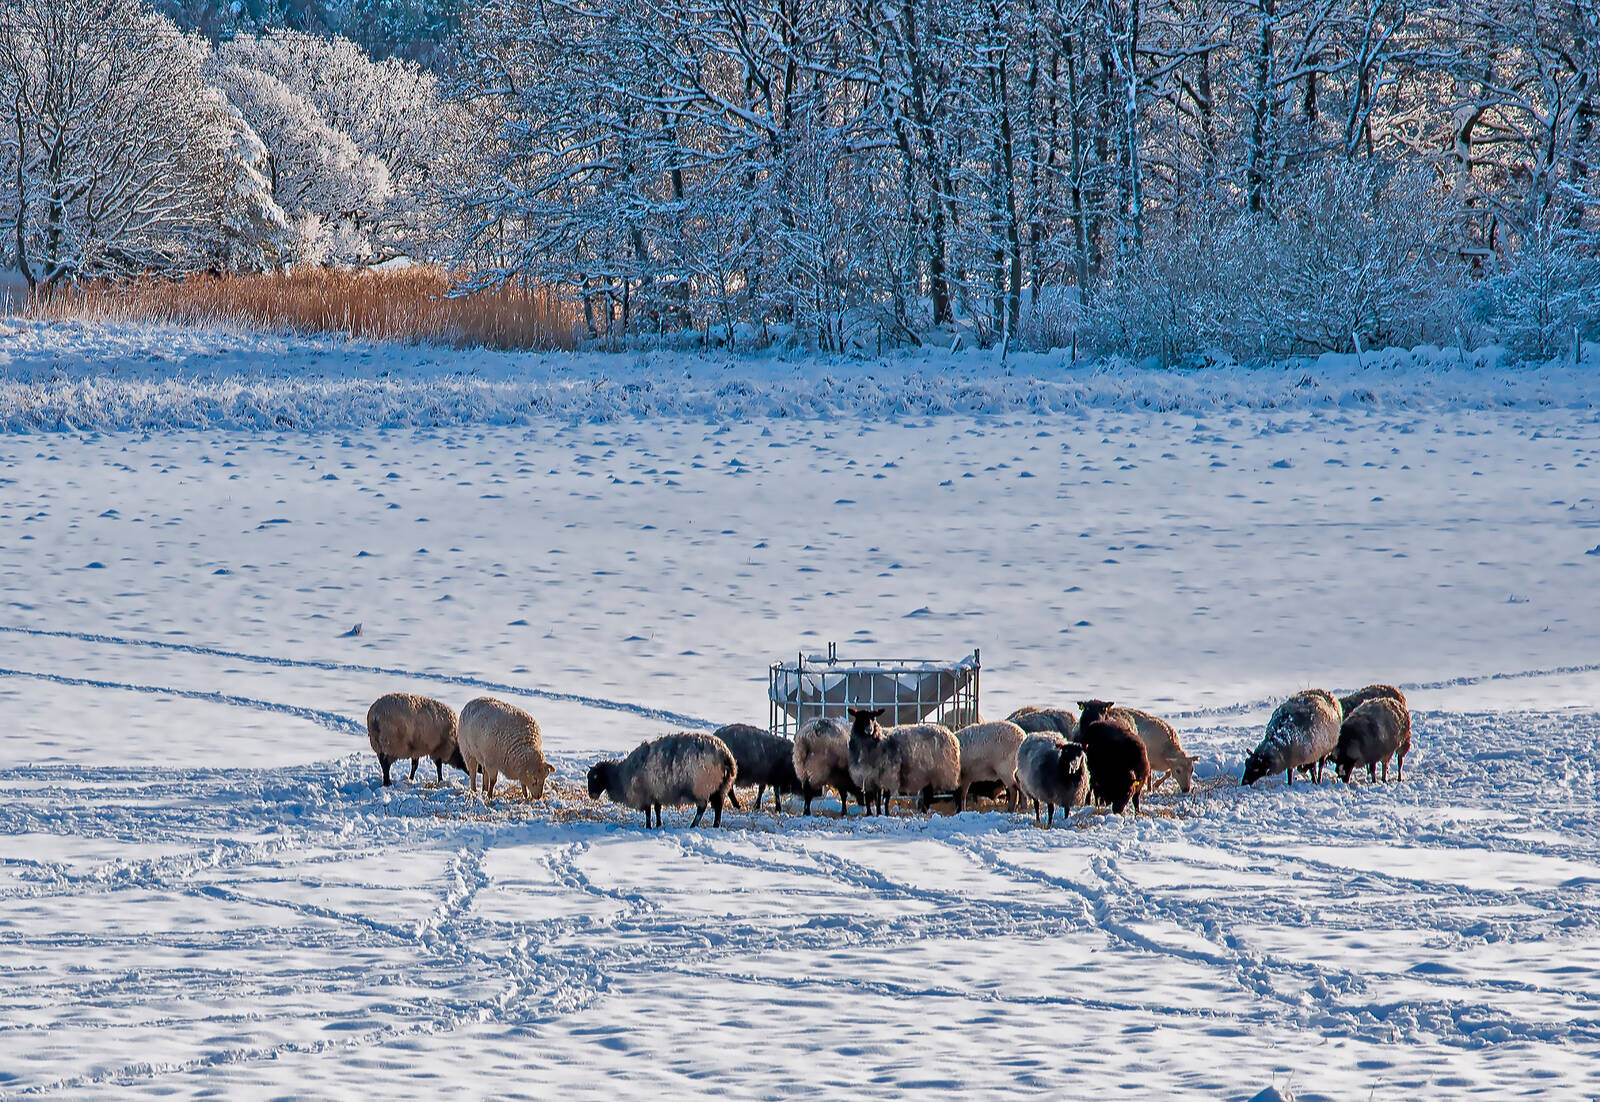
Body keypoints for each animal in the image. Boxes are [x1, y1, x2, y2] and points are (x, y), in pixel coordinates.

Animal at [587, 732, 737, 828]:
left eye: (595, 777)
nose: (592, 795)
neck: (620, 776)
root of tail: (726, 755)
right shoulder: (656, 791)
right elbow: (657, 809)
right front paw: (658, 825)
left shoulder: (645, 793)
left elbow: (648, 812)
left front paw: (648, 827)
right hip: (721, 786)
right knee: (718, 806)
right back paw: (715, 825)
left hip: (701, 786)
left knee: (702, 808)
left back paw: (693, 825)